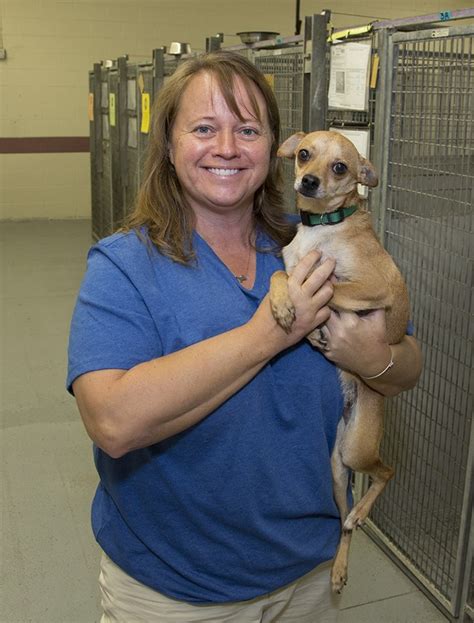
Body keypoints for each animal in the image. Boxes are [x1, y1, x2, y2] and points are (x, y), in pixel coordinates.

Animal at [272, 130, 410, 588]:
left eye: (340, 167)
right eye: (303, 154)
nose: (309, 181)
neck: (323, 229)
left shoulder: (374, 286)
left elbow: (330, 287)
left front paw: (312, 322)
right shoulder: (290, 264)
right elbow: (281, 274)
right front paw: (283, 305)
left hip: (359, 452)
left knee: (388, 472)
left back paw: (362, 514)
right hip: (337, 470)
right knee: (341, 524)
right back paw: (339, 567)